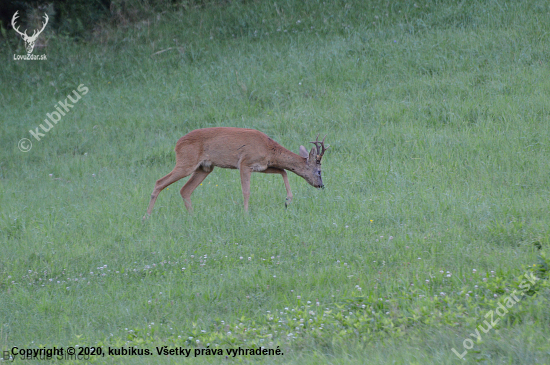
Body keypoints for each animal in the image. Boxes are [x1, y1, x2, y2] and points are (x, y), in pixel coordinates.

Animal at [144, 126, 330, 216]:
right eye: (319, 171)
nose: (321, 185)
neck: (268, 148)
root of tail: (177, 144)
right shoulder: (245, 163)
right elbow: (246, 191)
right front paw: (246, 214)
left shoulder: (262, 166)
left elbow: (283, 171)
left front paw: (287, 201)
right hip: (186, 162)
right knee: (159, 182)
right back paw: (147, 217)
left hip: (204, 168)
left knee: (185, 190)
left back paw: (192, 216)